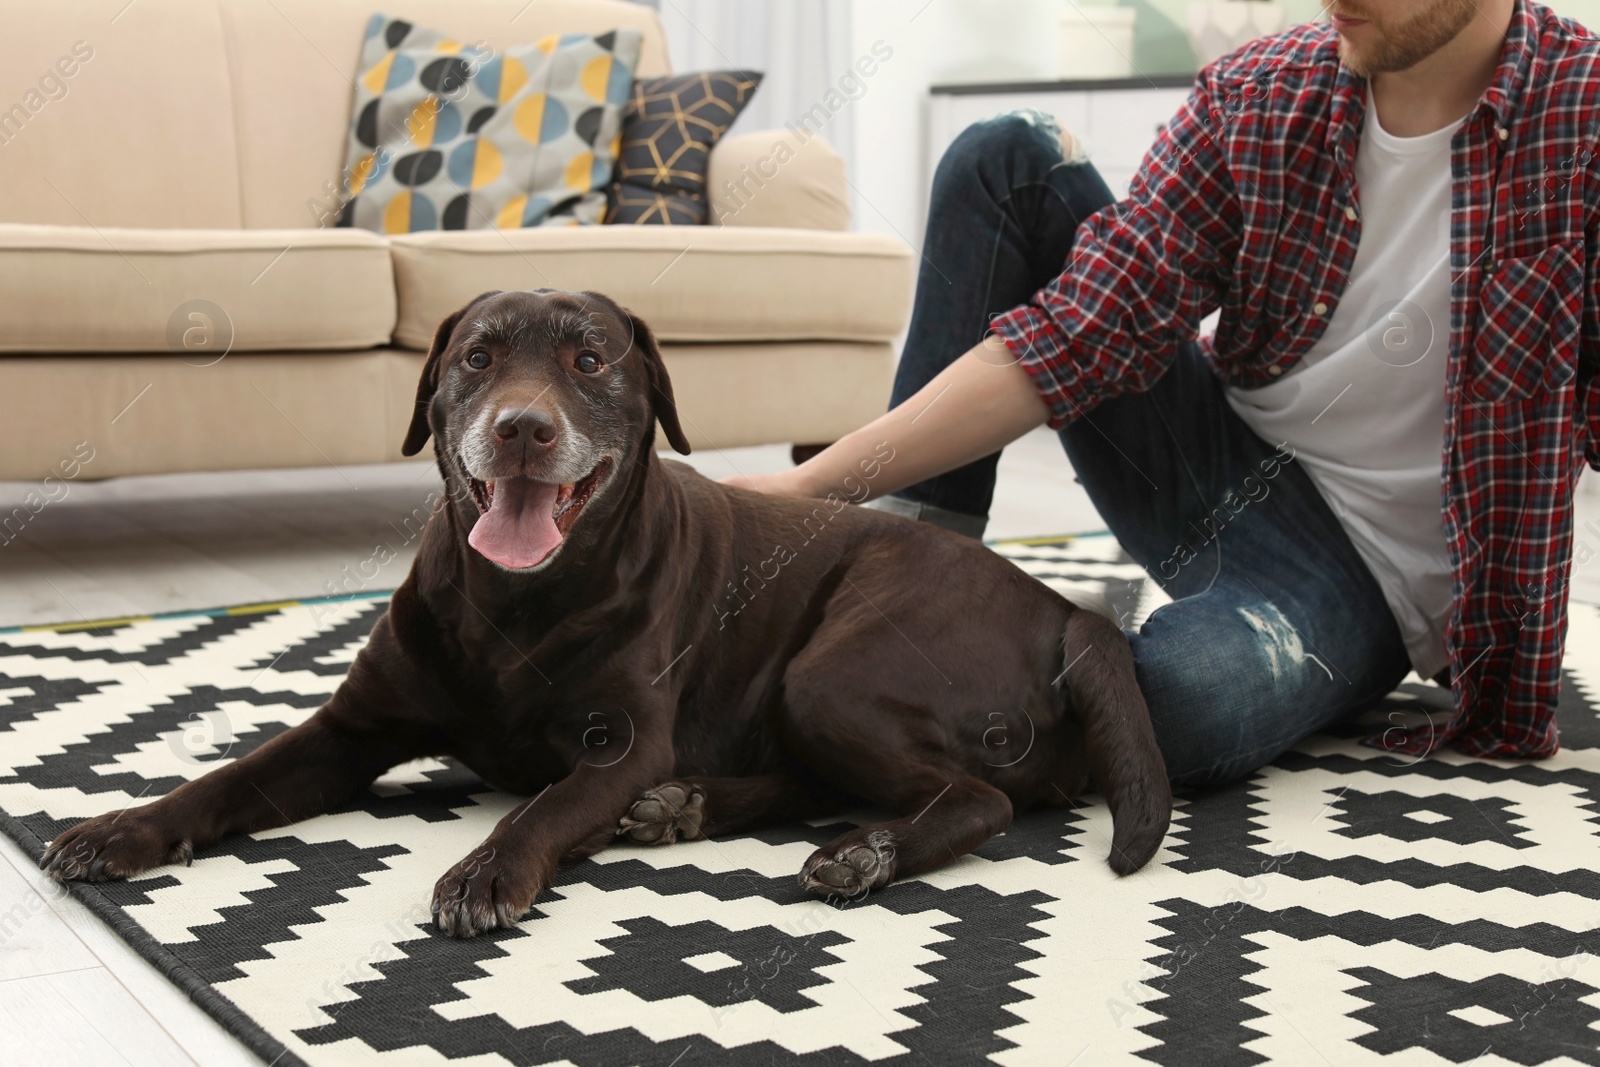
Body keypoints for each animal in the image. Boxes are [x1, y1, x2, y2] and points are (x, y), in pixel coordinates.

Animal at [40, 289, 1177, 934]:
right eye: (477, 356)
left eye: (590, 359)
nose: (523, 428)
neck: (515, 601)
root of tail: (1066, 610)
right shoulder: (349, 729)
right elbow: (230, 775)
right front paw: (122, 826)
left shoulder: (621, 744)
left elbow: (541, 806)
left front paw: (485, 869)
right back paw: (689, 808)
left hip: (836, 674)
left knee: (976, 797)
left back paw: (864, 850)